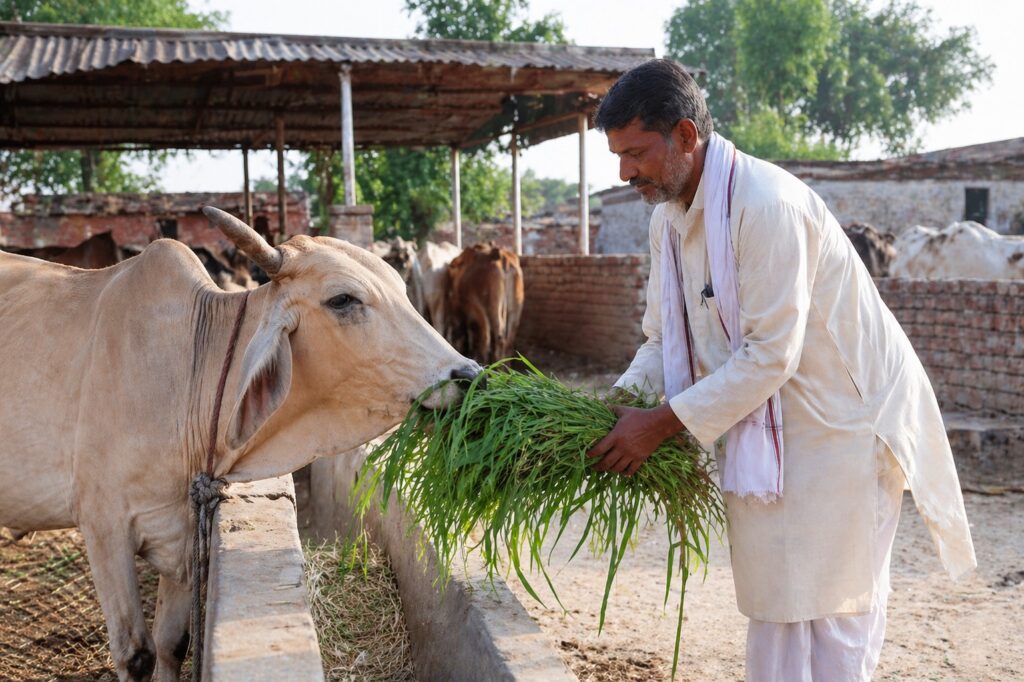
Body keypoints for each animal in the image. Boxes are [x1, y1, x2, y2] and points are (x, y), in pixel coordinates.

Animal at [0, 208, 478, 681]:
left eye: (402, 288)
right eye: (342, 299)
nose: (469, 375)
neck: (189, 370)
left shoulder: (185, 532)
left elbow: (173, 643)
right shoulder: (104, 526)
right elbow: (136, 655)